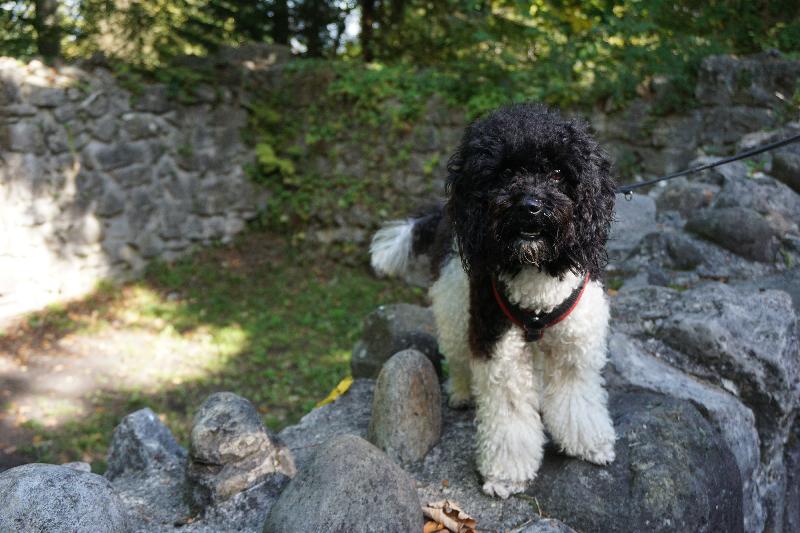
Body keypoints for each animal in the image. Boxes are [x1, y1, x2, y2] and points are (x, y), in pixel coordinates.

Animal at [369, 103, 617, 498]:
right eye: (505, 173)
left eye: (558, 173)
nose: (530, 206)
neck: (536, 273)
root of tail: (444, 214)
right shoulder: (499, 350)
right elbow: (509, 417)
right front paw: (506, 475)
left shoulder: (576, 348)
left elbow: (577, 399)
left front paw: (590, 444)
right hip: (454, 303)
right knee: (456, 354)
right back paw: (461, 391)